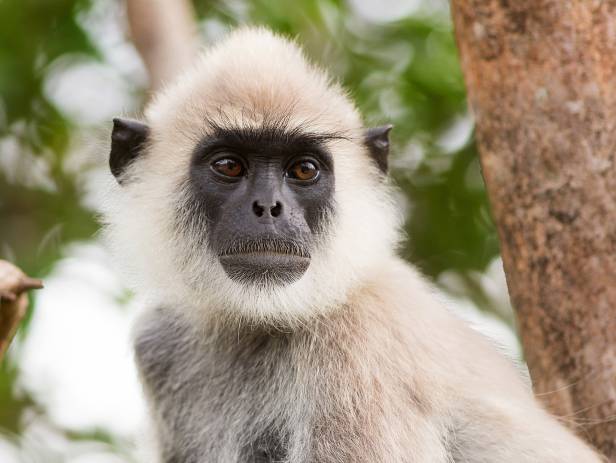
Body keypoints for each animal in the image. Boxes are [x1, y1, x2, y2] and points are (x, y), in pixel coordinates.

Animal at [103, 29, 604, 463]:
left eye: (303, 170)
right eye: (228, 166)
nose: (268, 207)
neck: (257, 321)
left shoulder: (361, 346)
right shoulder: (159, 342)